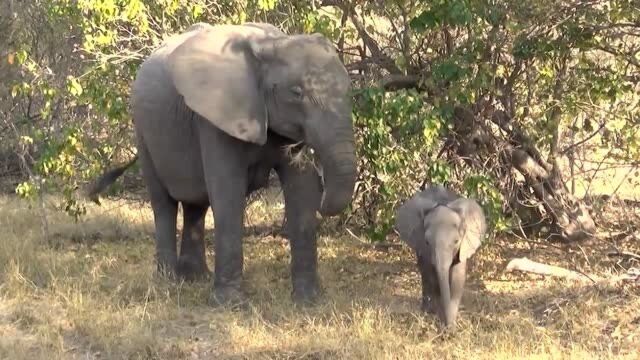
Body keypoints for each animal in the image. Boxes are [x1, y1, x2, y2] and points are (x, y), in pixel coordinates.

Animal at [85, 21, 358, 306]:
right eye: (296, 93)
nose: (323, 176)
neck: (270, 45)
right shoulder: (215, 117)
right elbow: (228, 193)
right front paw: (230, 305)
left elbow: (301, 191)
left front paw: (308, 301)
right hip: (143, 131)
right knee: (163, 203)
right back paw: (167, 281)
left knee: (196, 204)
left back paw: (195, 278)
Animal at [396, 186, 484, 330]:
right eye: (427, 242)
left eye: (456, 241)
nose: (449, 329)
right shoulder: (424, 247)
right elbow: (432, 276)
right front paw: (440, 321)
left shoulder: (463, 247)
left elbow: (457, 278)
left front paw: (450, 324)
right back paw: (426, 311)